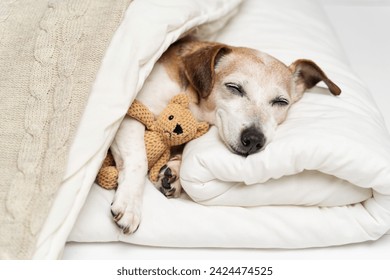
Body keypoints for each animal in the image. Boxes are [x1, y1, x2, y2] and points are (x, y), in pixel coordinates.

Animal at [108, 37, 340, 234]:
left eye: (281, 102)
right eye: (234, 88)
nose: (254, 139)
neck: (193, 101)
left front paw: (174, 173)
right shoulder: (131, 115)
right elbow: (139, 160)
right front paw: (130, 203)